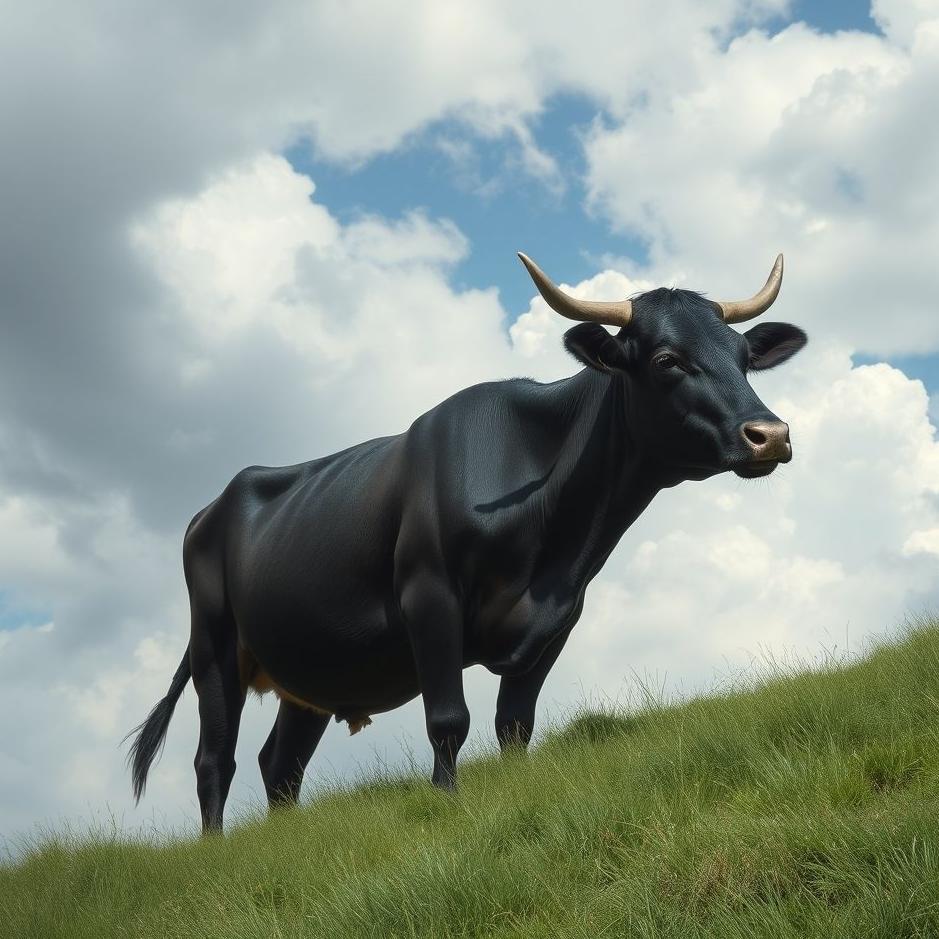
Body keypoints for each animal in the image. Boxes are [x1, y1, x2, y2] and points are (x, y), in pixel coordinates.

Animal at [127, 252, 806, 833]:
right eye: (667, 359)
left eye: (744, 355)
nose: (770, 435)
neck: (554, 549)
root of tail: (210, 507)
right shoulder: (429, 597)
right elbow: (450, 719)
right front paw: (446, 804)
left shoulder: (559, 619)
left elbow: (515, 723)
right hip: (214, 644)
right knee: (215, 760)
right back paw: (214, 849)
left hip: (310, 666)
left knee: (280, 765)